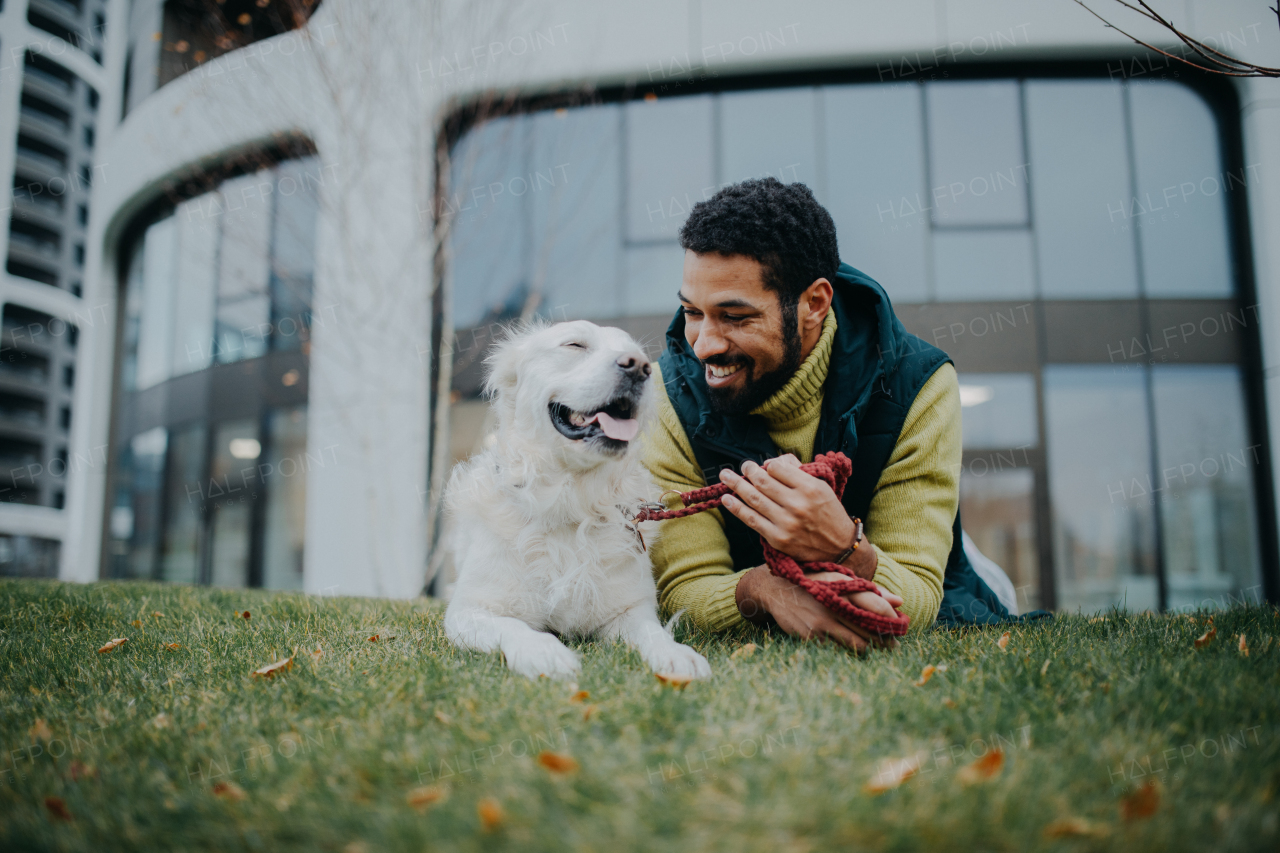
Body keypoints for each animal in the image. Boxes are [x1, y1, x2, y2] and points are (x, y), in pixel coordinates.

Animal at [445, 315, 716, 681]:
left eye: (639, 356)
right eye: (574, 345)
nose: (639, 367)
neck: (571, 502)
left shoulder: (629, 610)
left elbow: (653, 633)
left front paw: (676, 655)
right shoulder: (469, 611)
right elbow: (515, 628)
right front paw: (545, 653)